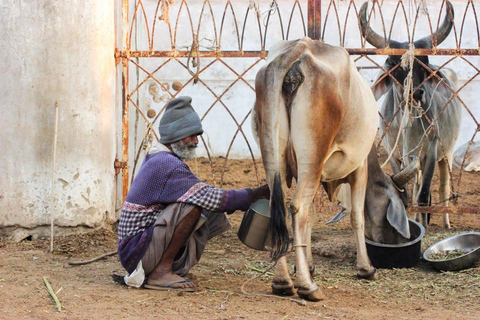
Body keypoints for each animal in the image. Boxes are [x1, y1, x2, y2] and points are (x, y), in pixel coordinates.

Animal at [251, 36, 420, 302]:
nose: (396, 240)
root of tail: (297, 51)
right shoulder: (360, 168)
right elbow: (356, 216)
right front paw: (366, 268)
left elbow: (310, 219)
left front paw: (308, 265)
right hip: (313, 155)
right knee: (297, 207)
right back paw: (308, 287)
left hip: (276, 158)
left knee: (279, 209)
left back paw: (282, 282)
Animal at [360, 1, 462, 229]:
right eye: (393, 62)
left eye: (424, 61)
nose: (416, 93)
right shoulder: (394, 153)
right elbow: (405, 192)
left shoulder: (431, 150)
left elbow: (424, 194)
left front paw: (424, 224)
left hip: (447, 154)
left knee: (442, 187)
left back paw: (445, 223)